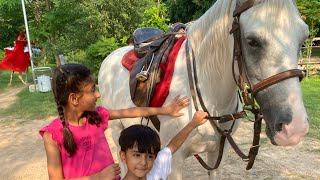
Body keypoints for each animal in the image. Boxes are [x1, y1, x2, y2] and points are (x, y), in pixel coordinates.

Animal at [98, 0, 310, 179]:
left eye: (303, 39)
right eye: (252, 41)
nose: (295, 129)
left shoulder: (218, 154)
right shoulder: (174, 160)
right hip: (117, 129)